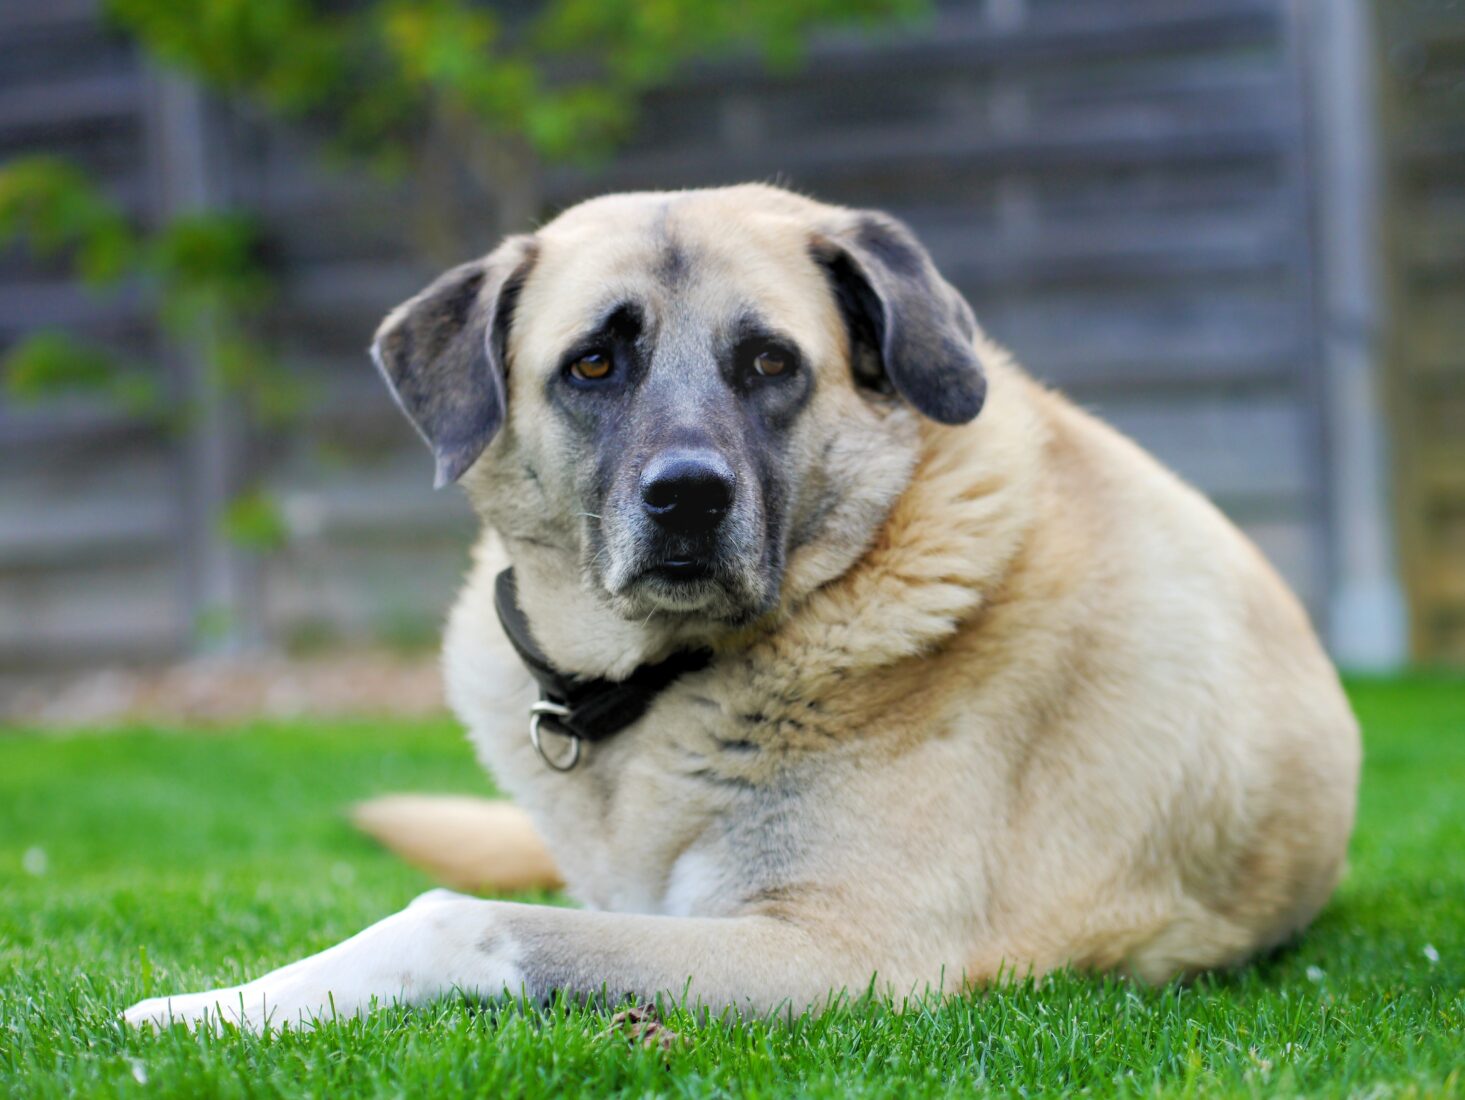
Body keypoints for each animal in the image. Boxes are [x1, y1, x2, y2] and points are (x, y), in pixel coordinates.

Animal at [125, 183, 1359, 1031]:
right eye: (593, 363)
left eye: (769, 361)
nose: (688, 495)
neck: (652, 687)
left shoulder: (843, 949)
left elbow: (452, 915)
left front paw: (211, 1007)